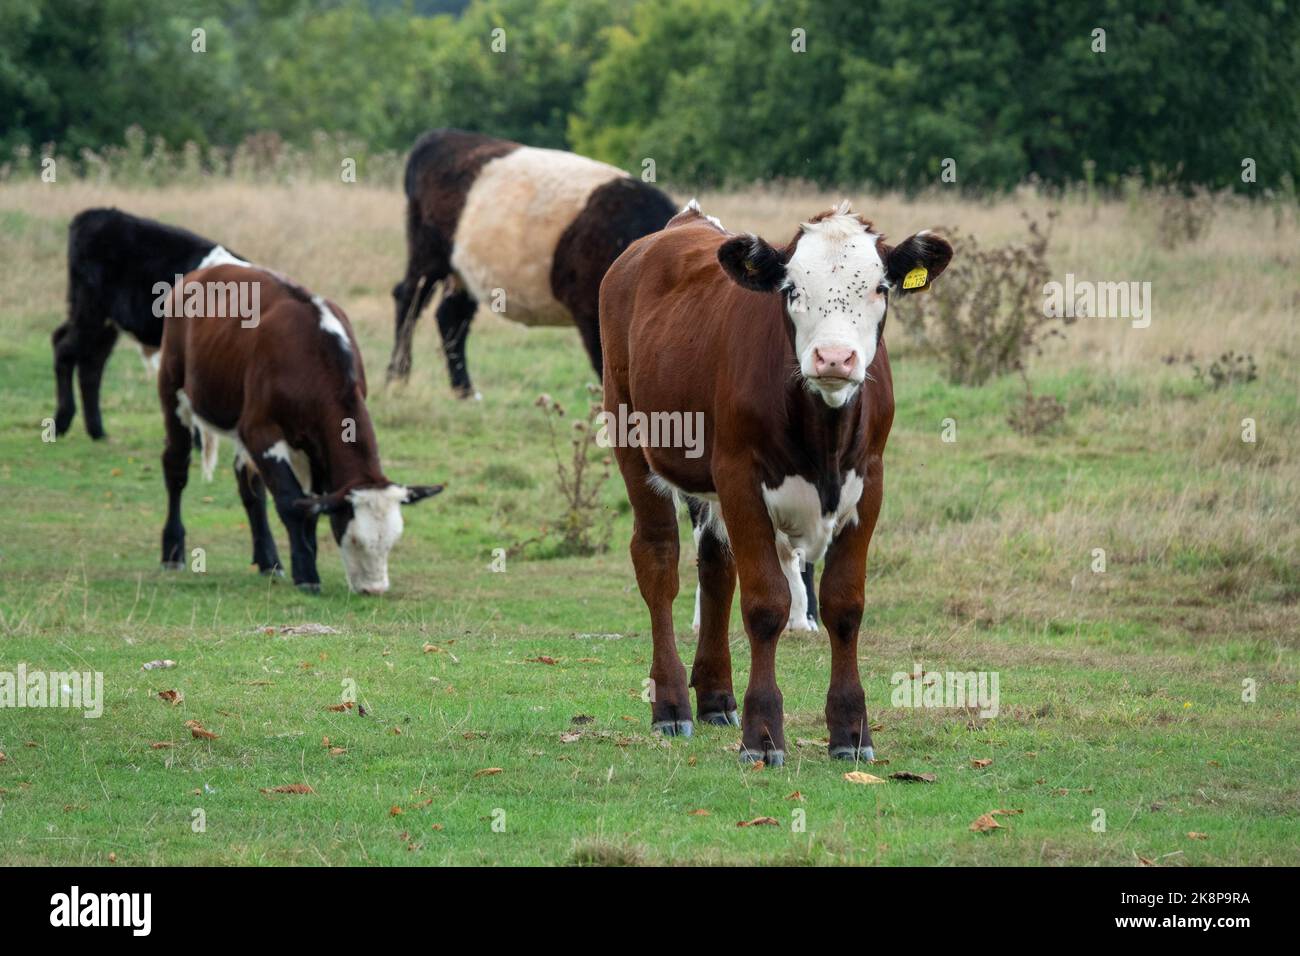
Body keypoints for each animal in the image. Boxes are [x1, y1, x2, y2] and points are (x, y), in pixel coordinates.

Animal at [53, 207, 246, 440]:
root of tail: (94, 214)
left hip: (105, 321)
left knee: (90, 363)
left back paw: (97, 431)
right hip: (91, 312)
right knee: (66, 351)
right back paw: (62, 422)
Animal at [157, 264, 441, 594]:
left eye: (393, 541)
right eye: (356, 538)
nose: (374, 589)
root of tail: (205, 271)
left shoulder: (317, 448)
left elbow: (312, 505)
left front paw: (304, 557)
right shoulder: (260, 431)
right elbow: (291, 501)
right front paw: (306, 572)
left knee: (250, 487)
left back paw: (268, 560)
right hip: (173, 390)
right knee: (176, 467)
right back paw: (172, 550)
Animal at [386, 128, 677, 397]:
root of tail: (441, 135)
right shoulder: (590, 311)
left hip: (463, 267)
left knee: (451, 315)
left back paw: (465, 391)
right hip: (428, 251)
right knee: (409, 299)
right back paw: (397, 378)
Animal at [600, 199, 952, 765]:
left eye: (880, 287)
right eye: (791, 289)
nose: (834, 358)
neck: (823, 432)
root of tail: (682, 224)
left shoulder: (869, 484)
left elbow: (844, 605)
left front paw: (851, 731)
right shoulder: (740, 478)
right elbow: (766, 604)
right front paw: (762, 734)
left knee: (716, 567)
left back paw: (716, 696)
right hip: (633, 441)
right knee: (658, 562)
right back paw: (671, 704)